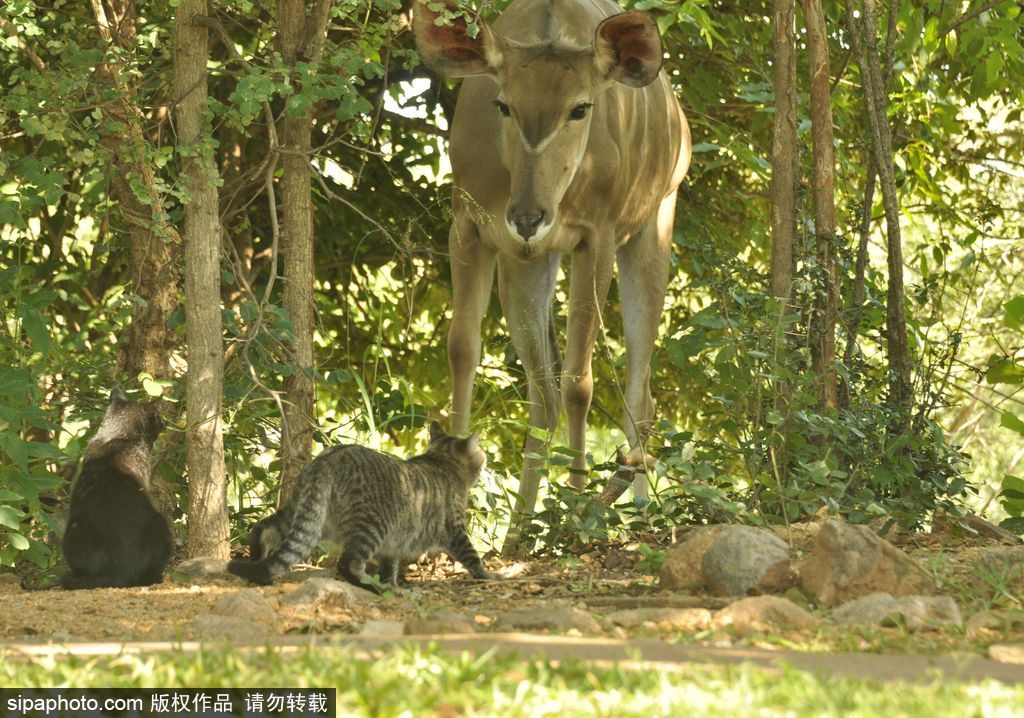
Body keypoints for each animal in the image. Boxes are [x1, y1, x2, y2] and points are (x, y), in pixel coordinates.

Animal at [227, 419, 495, 589]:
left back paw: (257, 558)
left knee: (264, 527)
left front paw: (392, 581)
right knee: (348, 564)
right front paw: (486, 575)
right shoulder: (455, 528)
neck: (441, 460)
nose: (487, 461)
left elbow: (390, 563)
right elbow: (472, 556)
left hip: (304, 508)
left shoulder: (395, 542)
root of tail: (330, 456)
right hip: (372, 523)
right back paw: (372, 585)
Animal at [411, 0, 692, 528]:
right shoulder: (470, 227)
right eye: (504, 104)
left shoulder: (596, 237)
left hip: (654, 224)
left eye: (580, 108)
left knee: (637, 388)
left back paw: (637, 509)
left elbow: (580, 382)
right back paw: (519, 528)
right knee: (543, 391)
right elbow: (462, 349)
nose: (528, 216)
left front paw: (577, 512)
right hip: (525, 265)